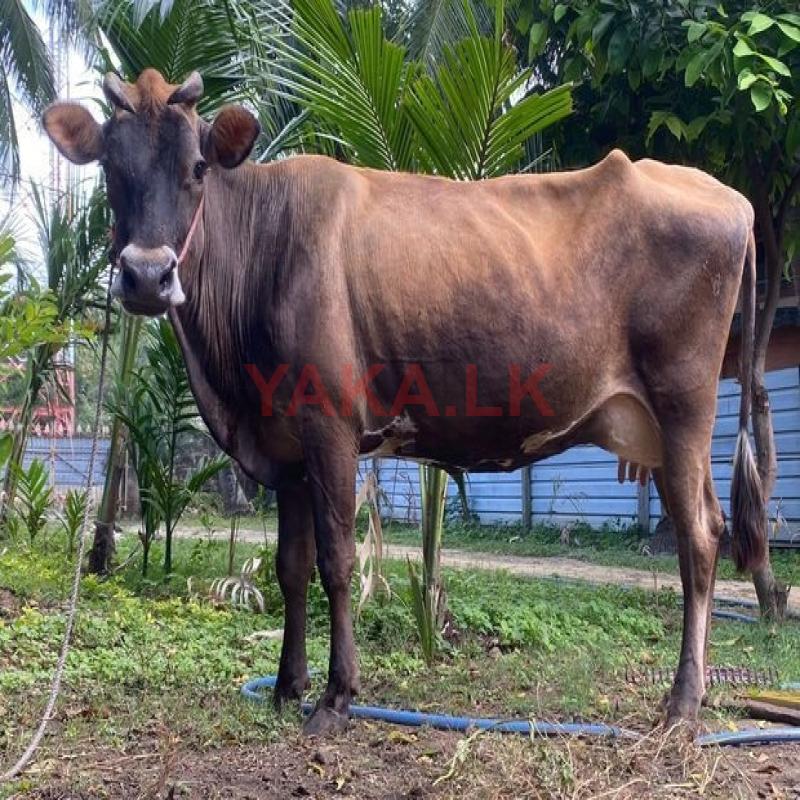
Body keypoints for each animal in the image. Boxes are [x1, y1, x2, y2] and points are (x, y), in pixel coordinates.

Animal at [43, 69, 767, 736]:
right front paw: (284, 686)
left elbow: (336, 561)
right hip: (659, 426)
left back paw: (681, 706)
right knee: (706, 525)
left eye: (196, 166)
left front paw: (335, 698)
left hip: (684, 403)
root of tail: (730, 196)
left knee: (699, 538)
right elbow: (289, 568)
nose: (146, 275)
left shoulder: (329, 425)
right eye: (109, 165)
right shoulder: (285, 448)